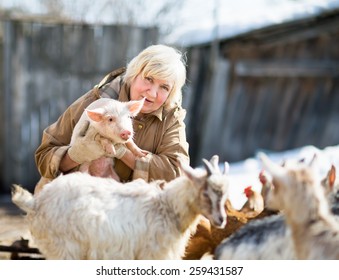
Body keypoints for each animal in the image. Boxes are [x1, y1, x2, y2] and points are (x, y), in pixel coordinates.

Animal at [11, 155, 230, 260]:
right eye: (205, 193)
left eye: (224, 194)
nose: (221, 220)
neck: (165, 207)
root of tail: (36, 203)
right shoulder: (151, 254)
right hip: (66, 248)